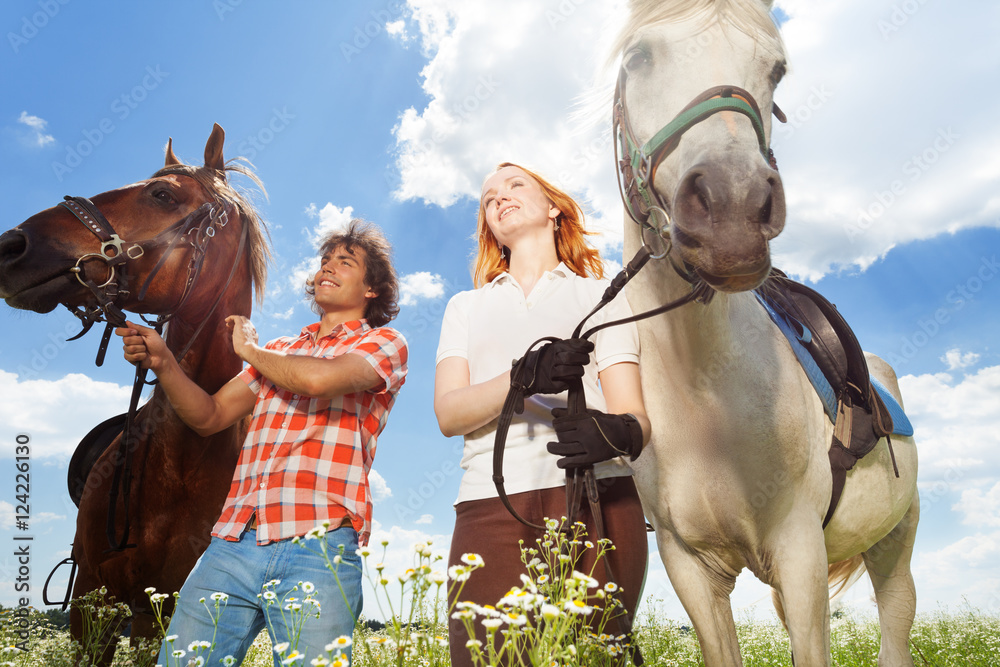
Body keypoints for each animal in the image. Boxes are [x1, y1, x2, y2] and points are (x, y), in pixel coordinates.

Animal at [616, 1, 920, 667]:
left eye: (776, 70)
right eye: (637, 56)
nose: (732, 205)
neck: (703, 391)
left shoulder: (799, 550)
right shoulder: (691, 568)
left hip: (894, 541)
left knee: (897, 619)